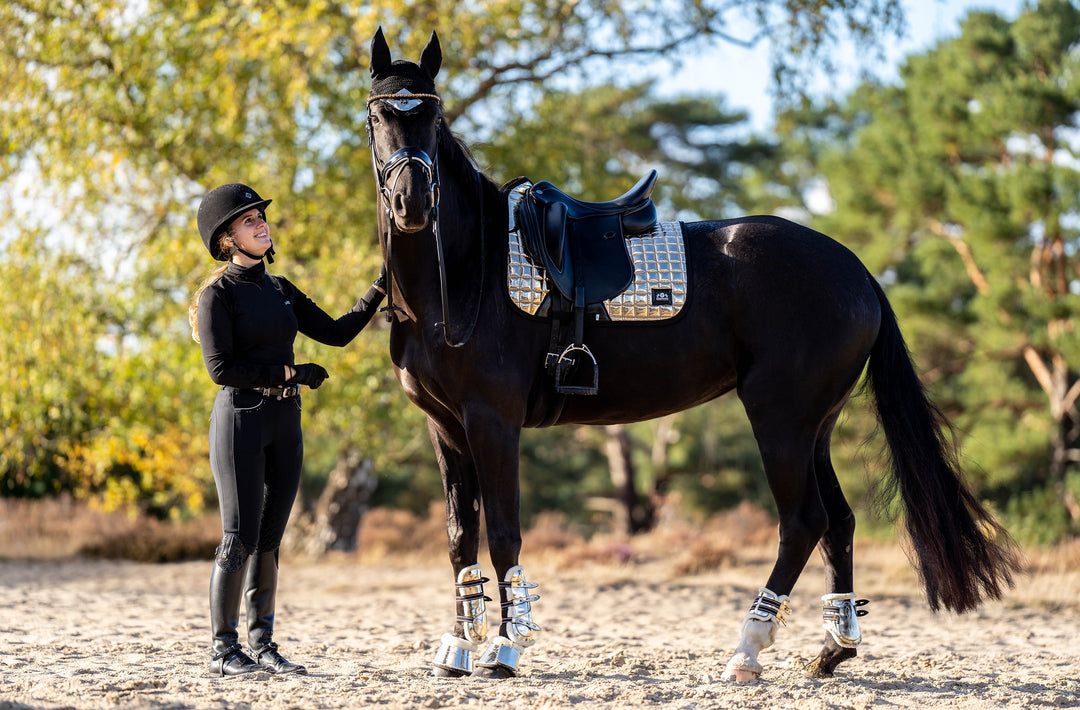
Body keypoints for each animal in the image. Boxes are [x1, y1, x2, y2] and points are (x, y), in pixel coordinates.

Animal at [362, 29, 1019, 682]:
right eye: (377, 115)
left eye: (432, 115)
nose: (412, 202)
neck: (466, 274)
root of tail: (856, 270)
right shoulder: (446, 426)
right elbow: (458, 536)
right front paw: (457, 648)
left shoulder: (492, 421)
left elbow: (502, 533)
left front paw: (505, 648)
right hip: (816, 426)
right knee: (838, 520)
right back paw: (833, 648)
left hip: (780, 418)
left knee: (803, 520)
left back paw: (748, 649)